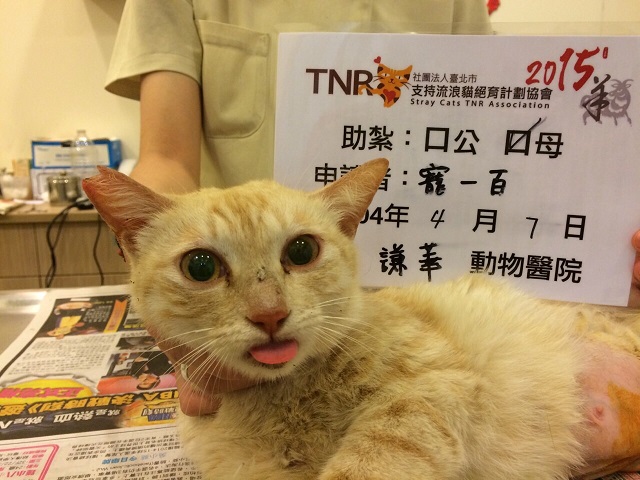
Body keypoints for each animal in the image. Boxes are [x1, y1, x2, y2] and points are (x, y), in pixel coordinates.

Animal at [83, 158, 640, 479]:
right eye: (200, 267)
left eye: (302, 251)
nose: (270, 314)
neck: (281, 399)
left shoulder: (433, 385)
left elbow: (371, 462)